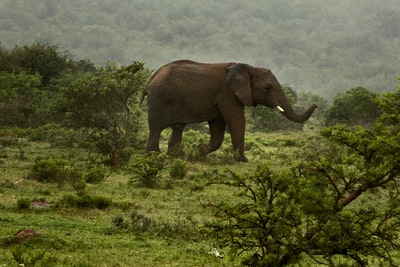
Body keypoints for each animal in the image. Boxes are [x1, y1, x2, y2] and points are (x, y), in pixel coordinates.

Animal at [145, 60, 318, 162]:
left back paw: (175, 155)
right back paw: (154, 155)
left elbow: (218, 125)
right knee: (156, 127)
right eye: (268, 88)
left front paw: (198, 151)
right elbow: (236, 119)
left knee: (177, 127)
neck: (249, 68)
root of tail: (152, 77)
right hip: (159, 98)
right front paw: (243, 160)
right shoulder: (227, 93)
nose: (316, 104)